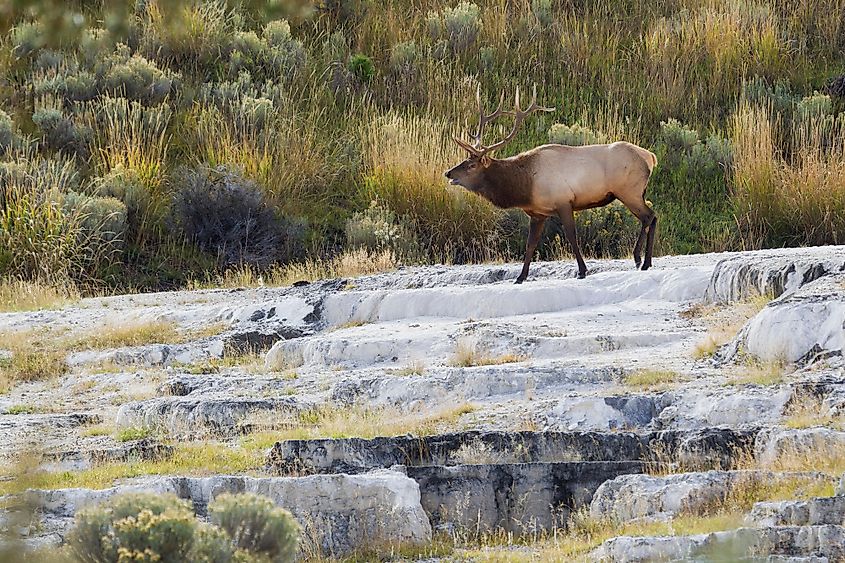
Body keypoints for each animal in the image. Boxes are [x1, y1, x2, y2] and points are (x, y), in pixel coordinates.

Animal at [446, 85, 656, 282]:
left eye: (471, 165)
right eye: (464, 161)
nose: (448, 172)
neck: (525, 187)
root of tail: (650, 156)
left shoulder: (564, 201)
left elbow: (571, 236)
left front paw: (582, 270)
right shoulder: (537, 213)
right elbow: (530, 243)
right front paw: (520, 277)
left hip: (629, 191)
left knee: (649, 216)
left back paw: (639, 259)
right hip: (636, 192)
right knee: (652, 217)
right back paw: (647, 262)